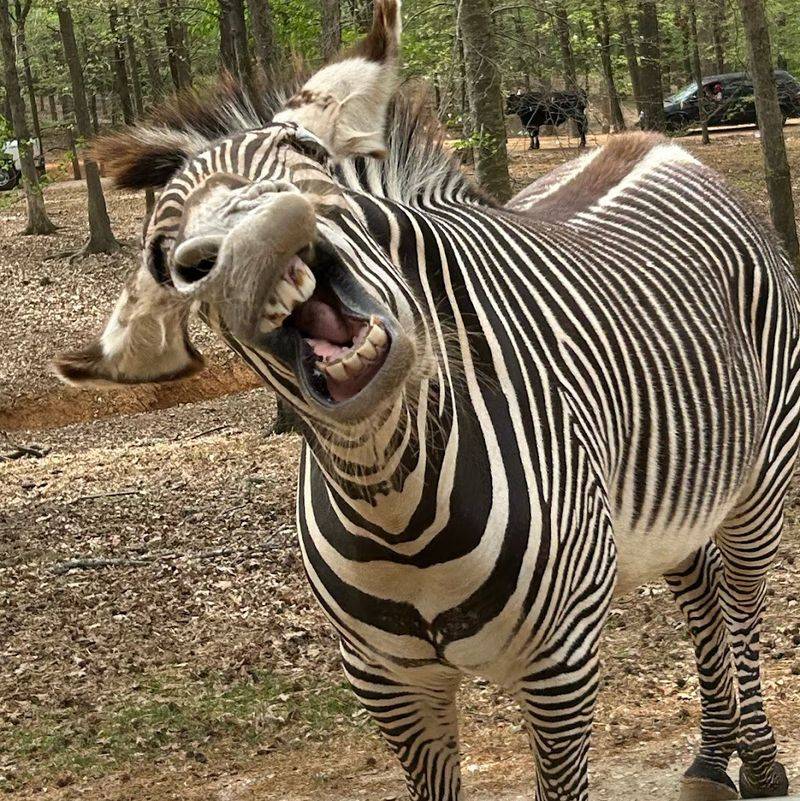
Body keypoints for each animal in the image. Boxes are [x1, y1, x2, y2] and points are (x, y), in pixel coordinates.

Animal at [53, 2, 800, 799]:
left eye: (306, 154)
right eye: (163, 251)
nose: (239, 248)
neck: (398, 510)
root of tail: (656, 143)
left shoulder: (561, 665)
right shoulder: (389, 686)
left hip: (761, 479)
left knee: (742, 605)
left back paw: (758, 761)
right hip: (675, 502)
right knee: (703, 594)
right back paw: (709, 759)